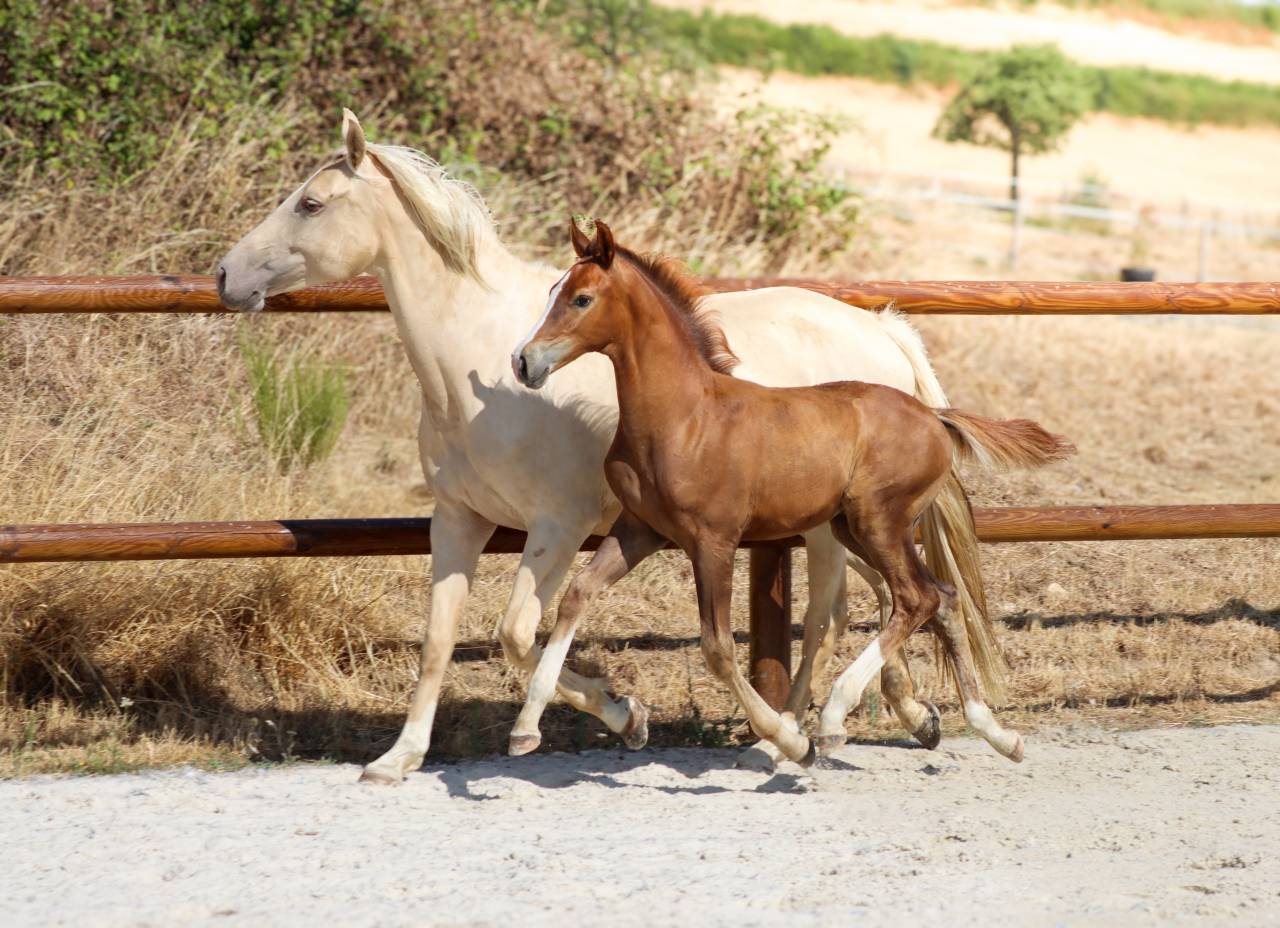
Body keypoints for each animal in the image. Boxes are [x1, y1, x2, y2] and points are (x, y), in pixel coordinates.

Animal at [220, 109, 994, 782]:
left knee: (838, 614)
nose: (227, 275)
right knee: (904, 597)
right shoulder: (458, 518)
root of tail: (883, 330)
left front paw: (623, 715)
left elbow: (517, 633)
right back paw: (907, 717)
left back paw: (793, 738)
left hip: (835, 527)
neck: (472, 363)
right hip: (844, 523)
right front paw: (398, 758)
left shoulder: (558, 526)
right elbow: (443, 638)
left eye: (311, 204)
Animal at [511, 220, 1074, 764]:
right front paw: (529, 727)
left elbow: (717, 648)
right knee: (943, 597)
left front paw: (787, 740)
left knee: (916, 598)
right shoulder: (641, 529)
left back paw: (832, 719)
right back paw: (995, 733)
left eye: (581, 298)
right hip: (853, 529)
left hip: (878, 522)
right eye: (553, 290)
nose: (523, 361)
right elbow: (576, 596)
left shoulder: (713, 541)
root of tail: (934, 416)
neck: (684, 417)